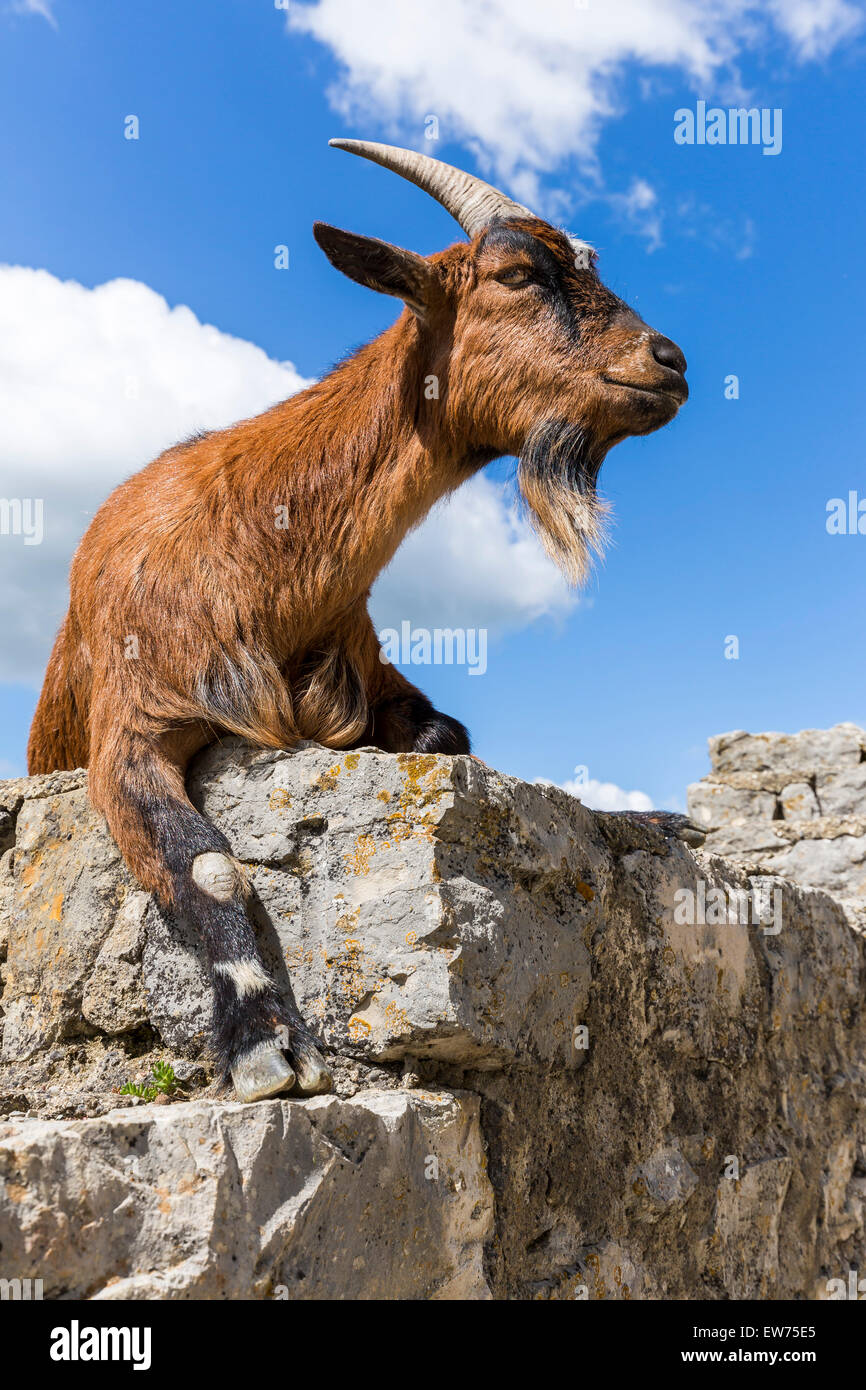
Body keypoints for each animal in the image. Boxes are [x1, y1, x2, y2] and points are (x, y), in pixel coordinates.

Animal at [28, 140, 689, 1101]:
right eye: (519, 273)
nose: (669, 361)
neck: (258, 549)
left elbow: (448, 737)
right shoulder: (132, 720)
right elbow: (208, 865)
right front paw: (267, 1042)